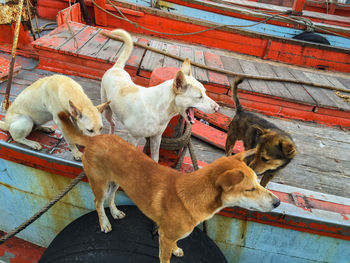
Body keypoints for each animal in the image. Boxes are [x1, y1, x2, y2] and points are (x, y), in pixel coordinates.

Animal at [58, 111, 280, 263]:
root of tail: (95, 138)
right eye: (250, 189)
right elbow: (165, 256)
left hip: (117, 180)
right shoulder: (164, 239)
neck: (193, 196)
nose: (277, 202)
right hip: (100, 182)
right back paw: (104, 223)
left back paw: (115, 212)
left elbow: (175, 244)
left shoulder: (167, 236)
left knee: (111, 197)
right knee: (98, 202)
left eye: (258, 182)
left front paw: (176, 249)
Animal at [100, 28, 219, 163]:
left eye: (205, 92)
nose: (217, 108)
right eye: (199, 97)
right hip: (106, 109)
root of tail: (117, 68)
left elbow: (155, 158)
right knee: (112, 123)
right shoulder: (133, 137)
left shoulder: (156, 137)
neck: (158, 110)